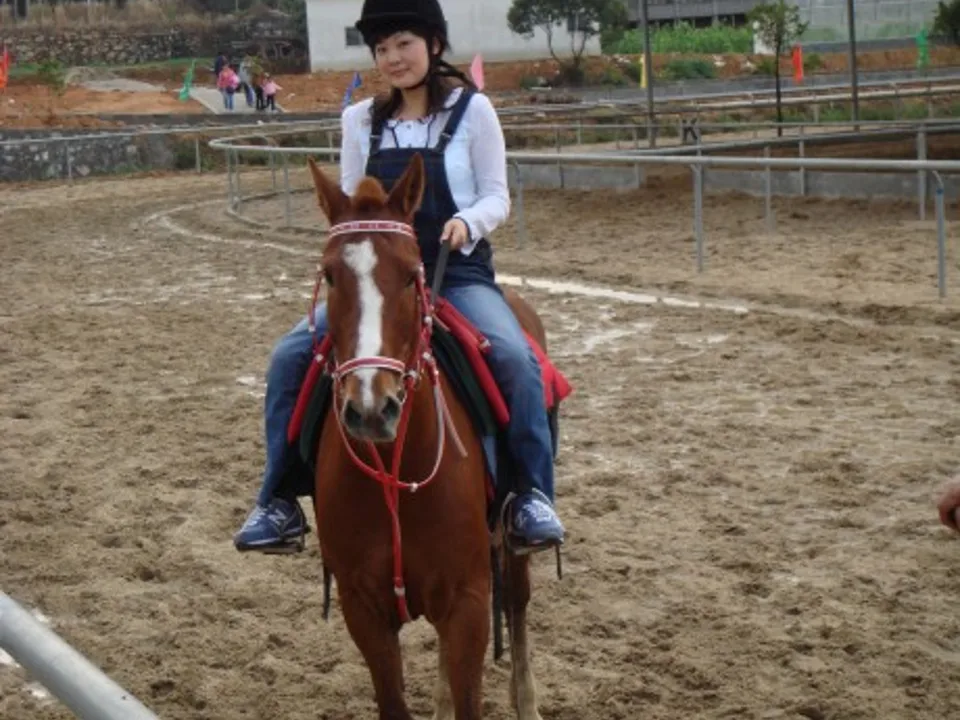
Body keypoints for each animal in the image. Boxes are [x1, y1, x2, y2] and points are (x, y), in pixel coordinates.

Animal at [300, 152, 560, 720]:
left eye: (411, 274)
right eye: (330, 275)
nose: (371, 407)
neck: (397, 474)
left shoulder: (469, 602)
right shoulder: (364, 608)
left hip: (513, 544)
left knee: (519, 604)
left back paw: (527, 702)